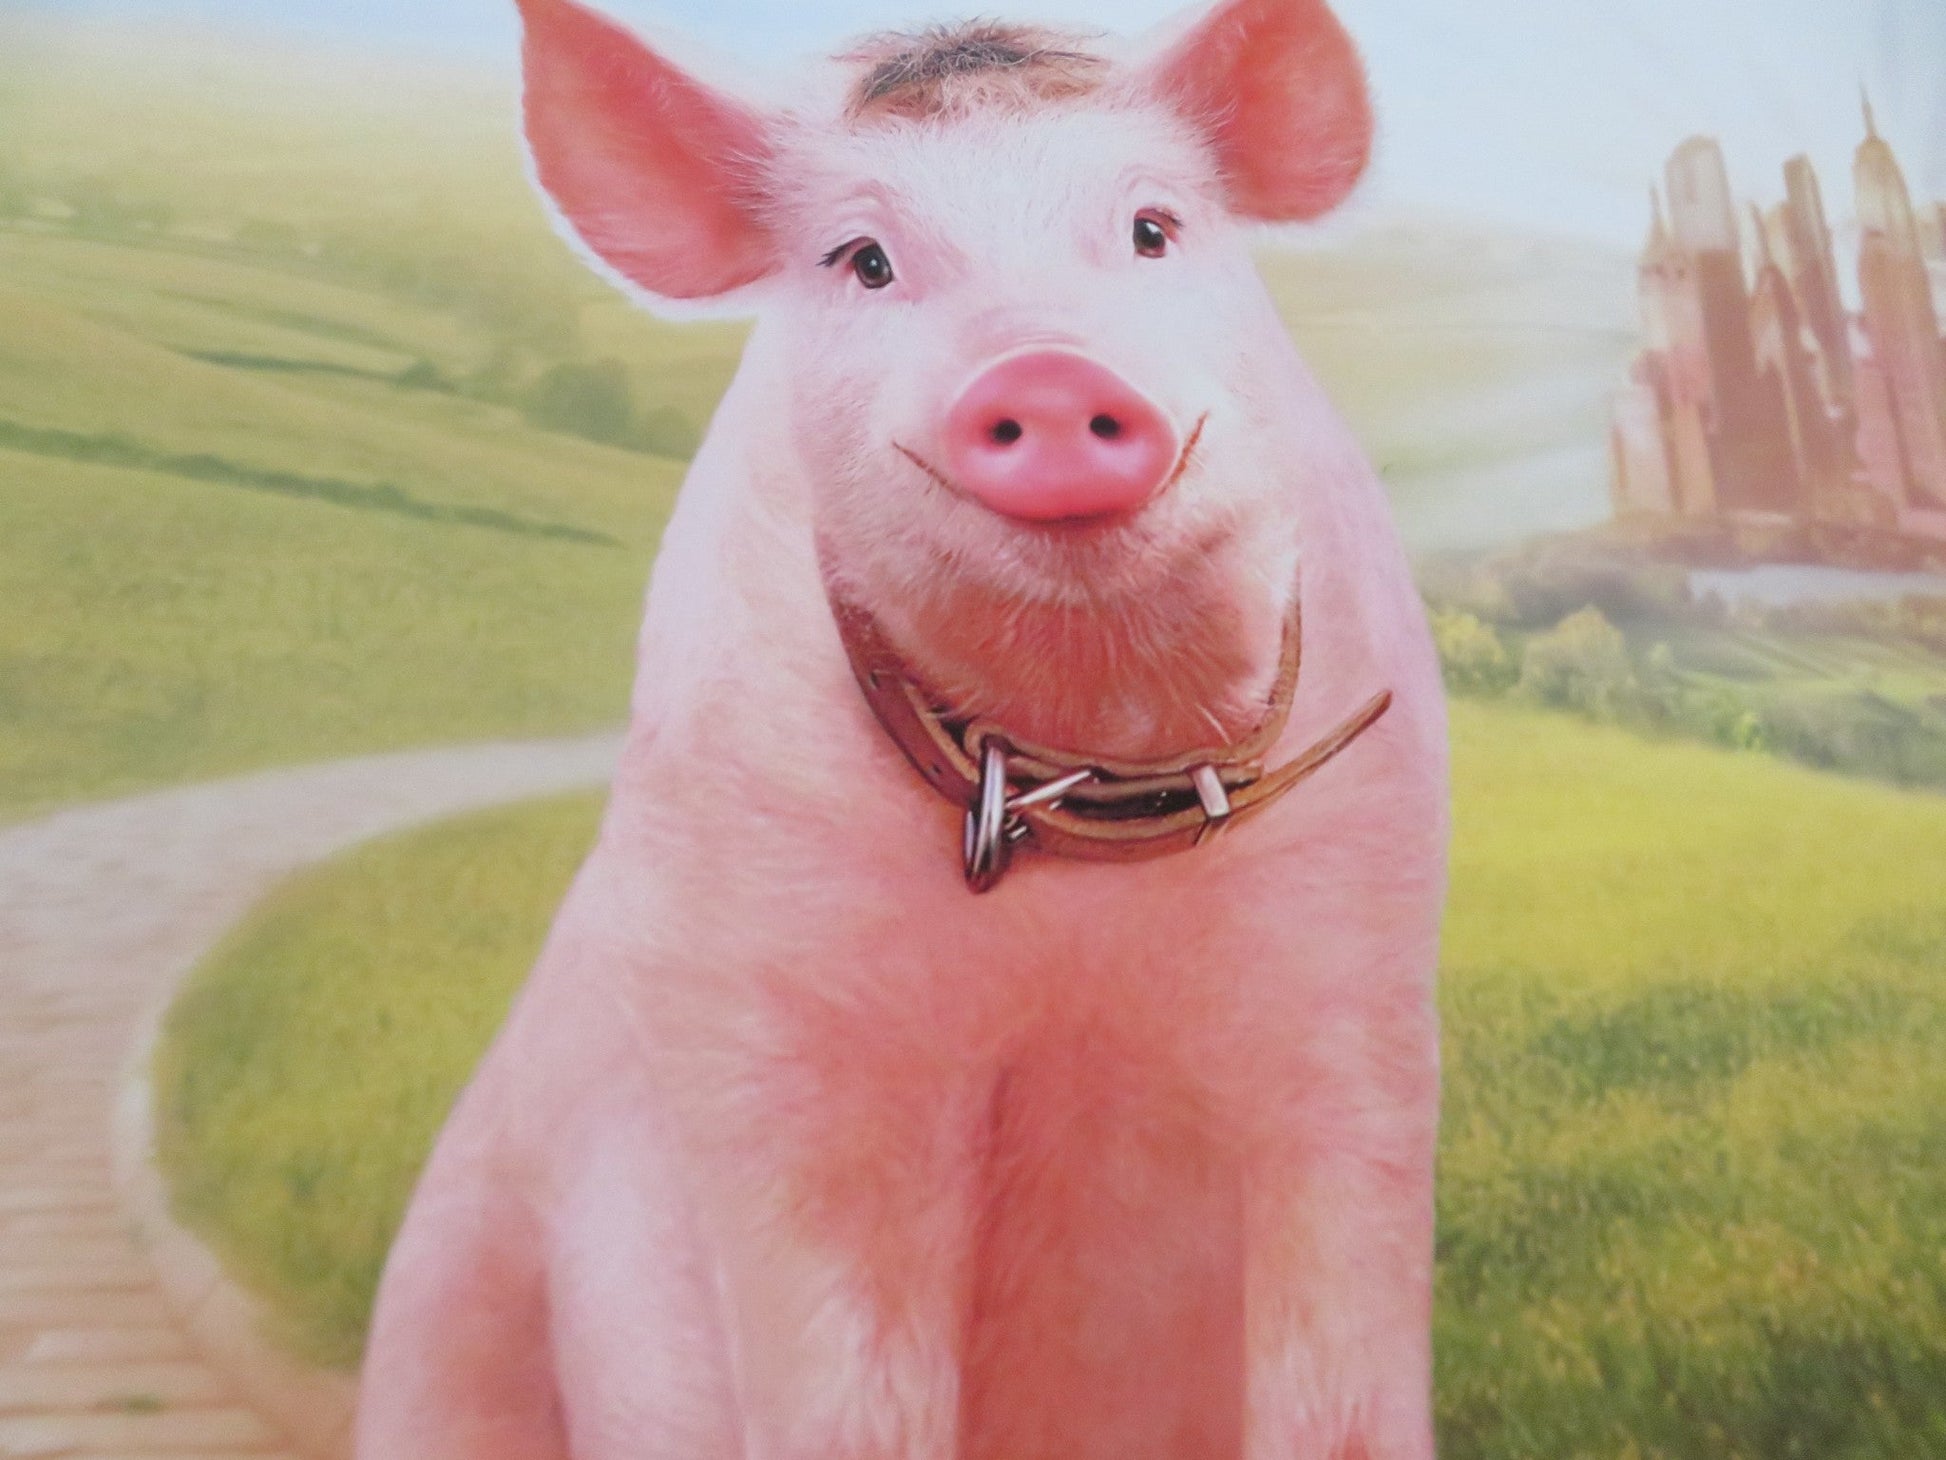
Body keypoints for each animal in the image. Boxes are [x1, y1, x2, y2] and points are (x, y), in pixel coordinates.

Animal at [354, 0, 1448, 1456]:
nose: (1047, 371)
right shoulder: (766, 1030)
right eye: (864, 261)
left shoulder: (1358, 998)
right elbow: (843, 1391)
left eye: (1153, 228)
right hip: (445, 1302)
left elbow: (1341, 1386)